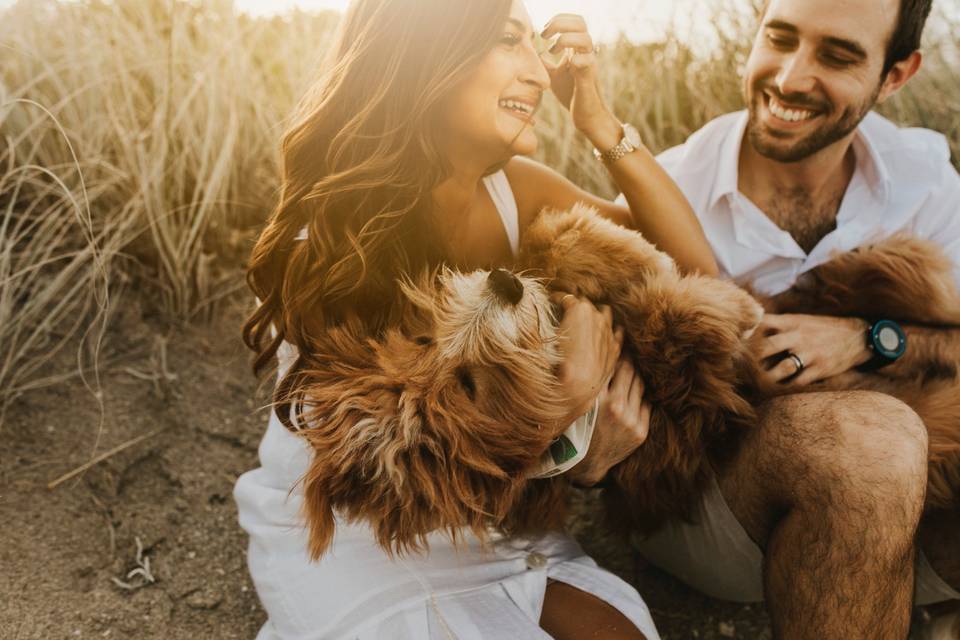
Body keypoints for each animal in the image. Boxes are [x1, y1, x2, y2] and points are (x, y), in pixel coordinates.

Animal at [296, 205, 760, 560]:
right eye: (469, 387)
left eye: (424, 340)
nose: (502, 283)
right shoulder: (679, 409)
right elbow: (676, 326)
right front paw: (732, 306)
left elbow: (550, 244)